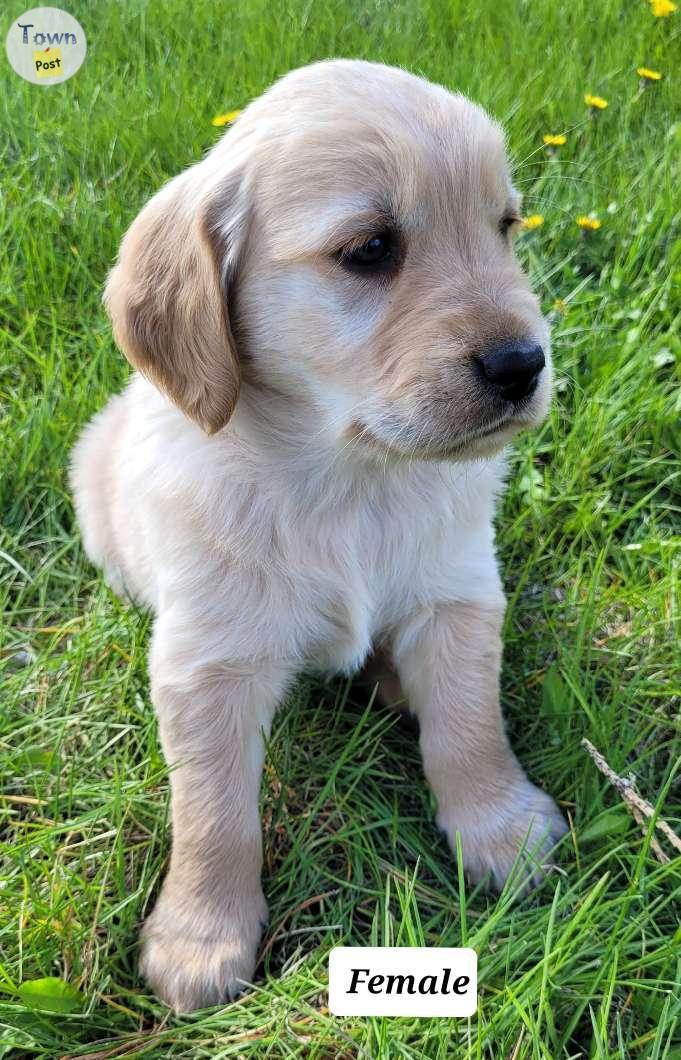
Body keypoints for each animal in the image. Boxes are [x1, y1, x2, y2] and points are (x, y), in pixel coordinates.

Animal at [70, 55, 568, 1009]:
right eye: (370, 249)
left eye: (505, 227)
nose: (523, 365)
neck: (347, 479)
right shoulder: (208, 664)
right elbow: (214, 813)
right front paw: (199, 935)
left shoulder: (456, 599)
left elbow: (469, 726)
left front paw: (499, 829)